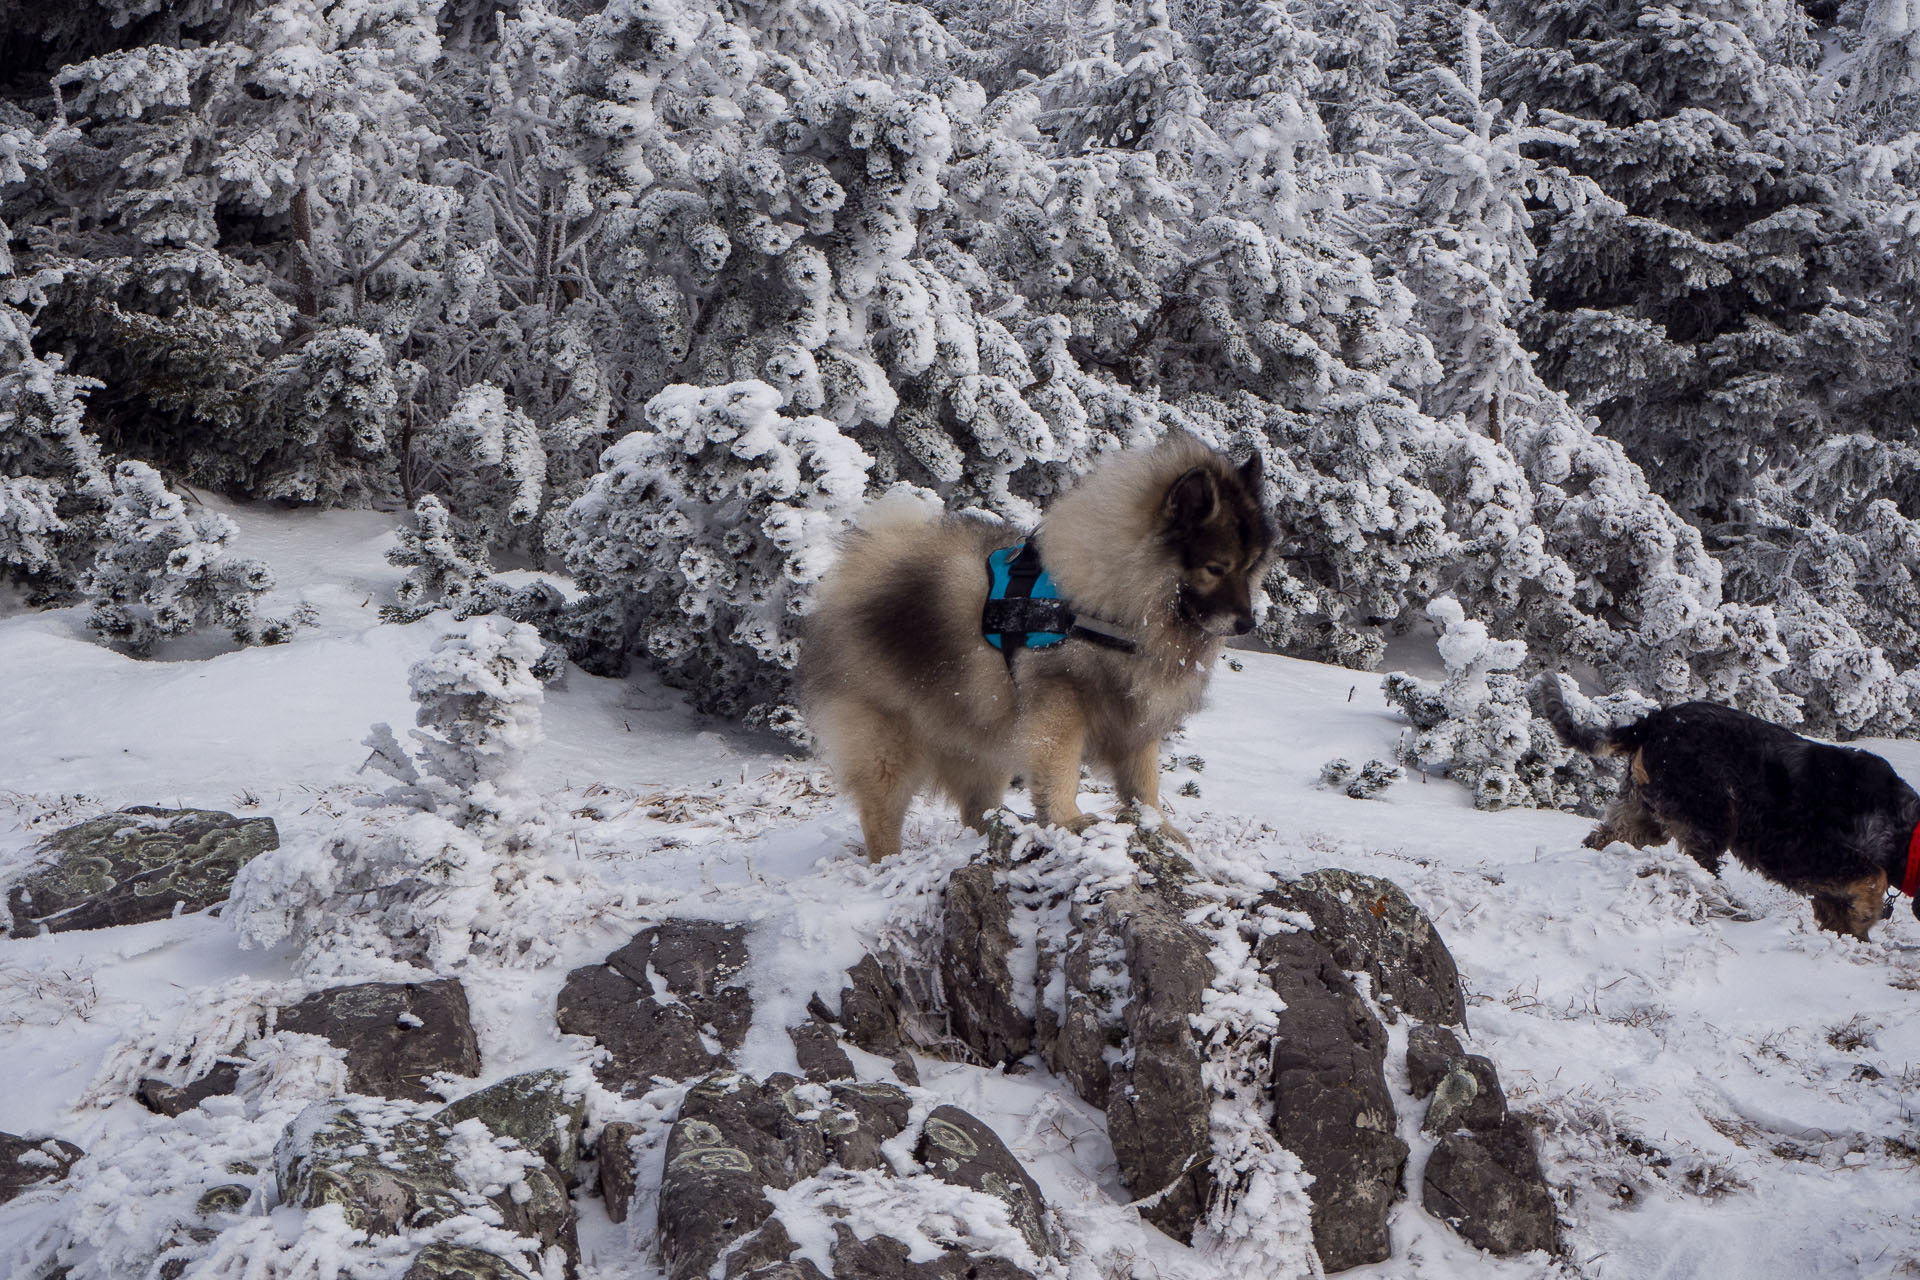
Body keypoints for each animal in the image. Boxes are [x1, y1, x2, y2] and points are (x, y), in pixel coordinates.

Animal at [798, 435, 1274, 867]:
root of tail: (865, 564)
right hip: (890, 741)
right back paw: (889, 863)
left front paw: (1158, 826)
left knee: (976, 807)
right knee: (881, 812)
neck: (1110, 599)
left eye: (1251, 567)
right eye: (1216, 568)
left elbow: (1143, 781)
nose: (1247, 623)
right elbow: (1060, 768)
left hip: (980, 740)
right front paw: (1068, 820)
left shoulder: (1134, 711)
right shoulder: (1060, 702)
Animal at [1536, 679, 1920, 940]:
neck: (1906, 827)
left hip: (1644, 812)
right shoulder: (1813, 851)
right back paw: (1725, 906)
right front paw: (1867, 917)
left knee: (1604, 837)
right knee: (1700, 869)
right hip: (1709, 815)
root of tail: (1653, 721)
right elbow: (1873, 877)